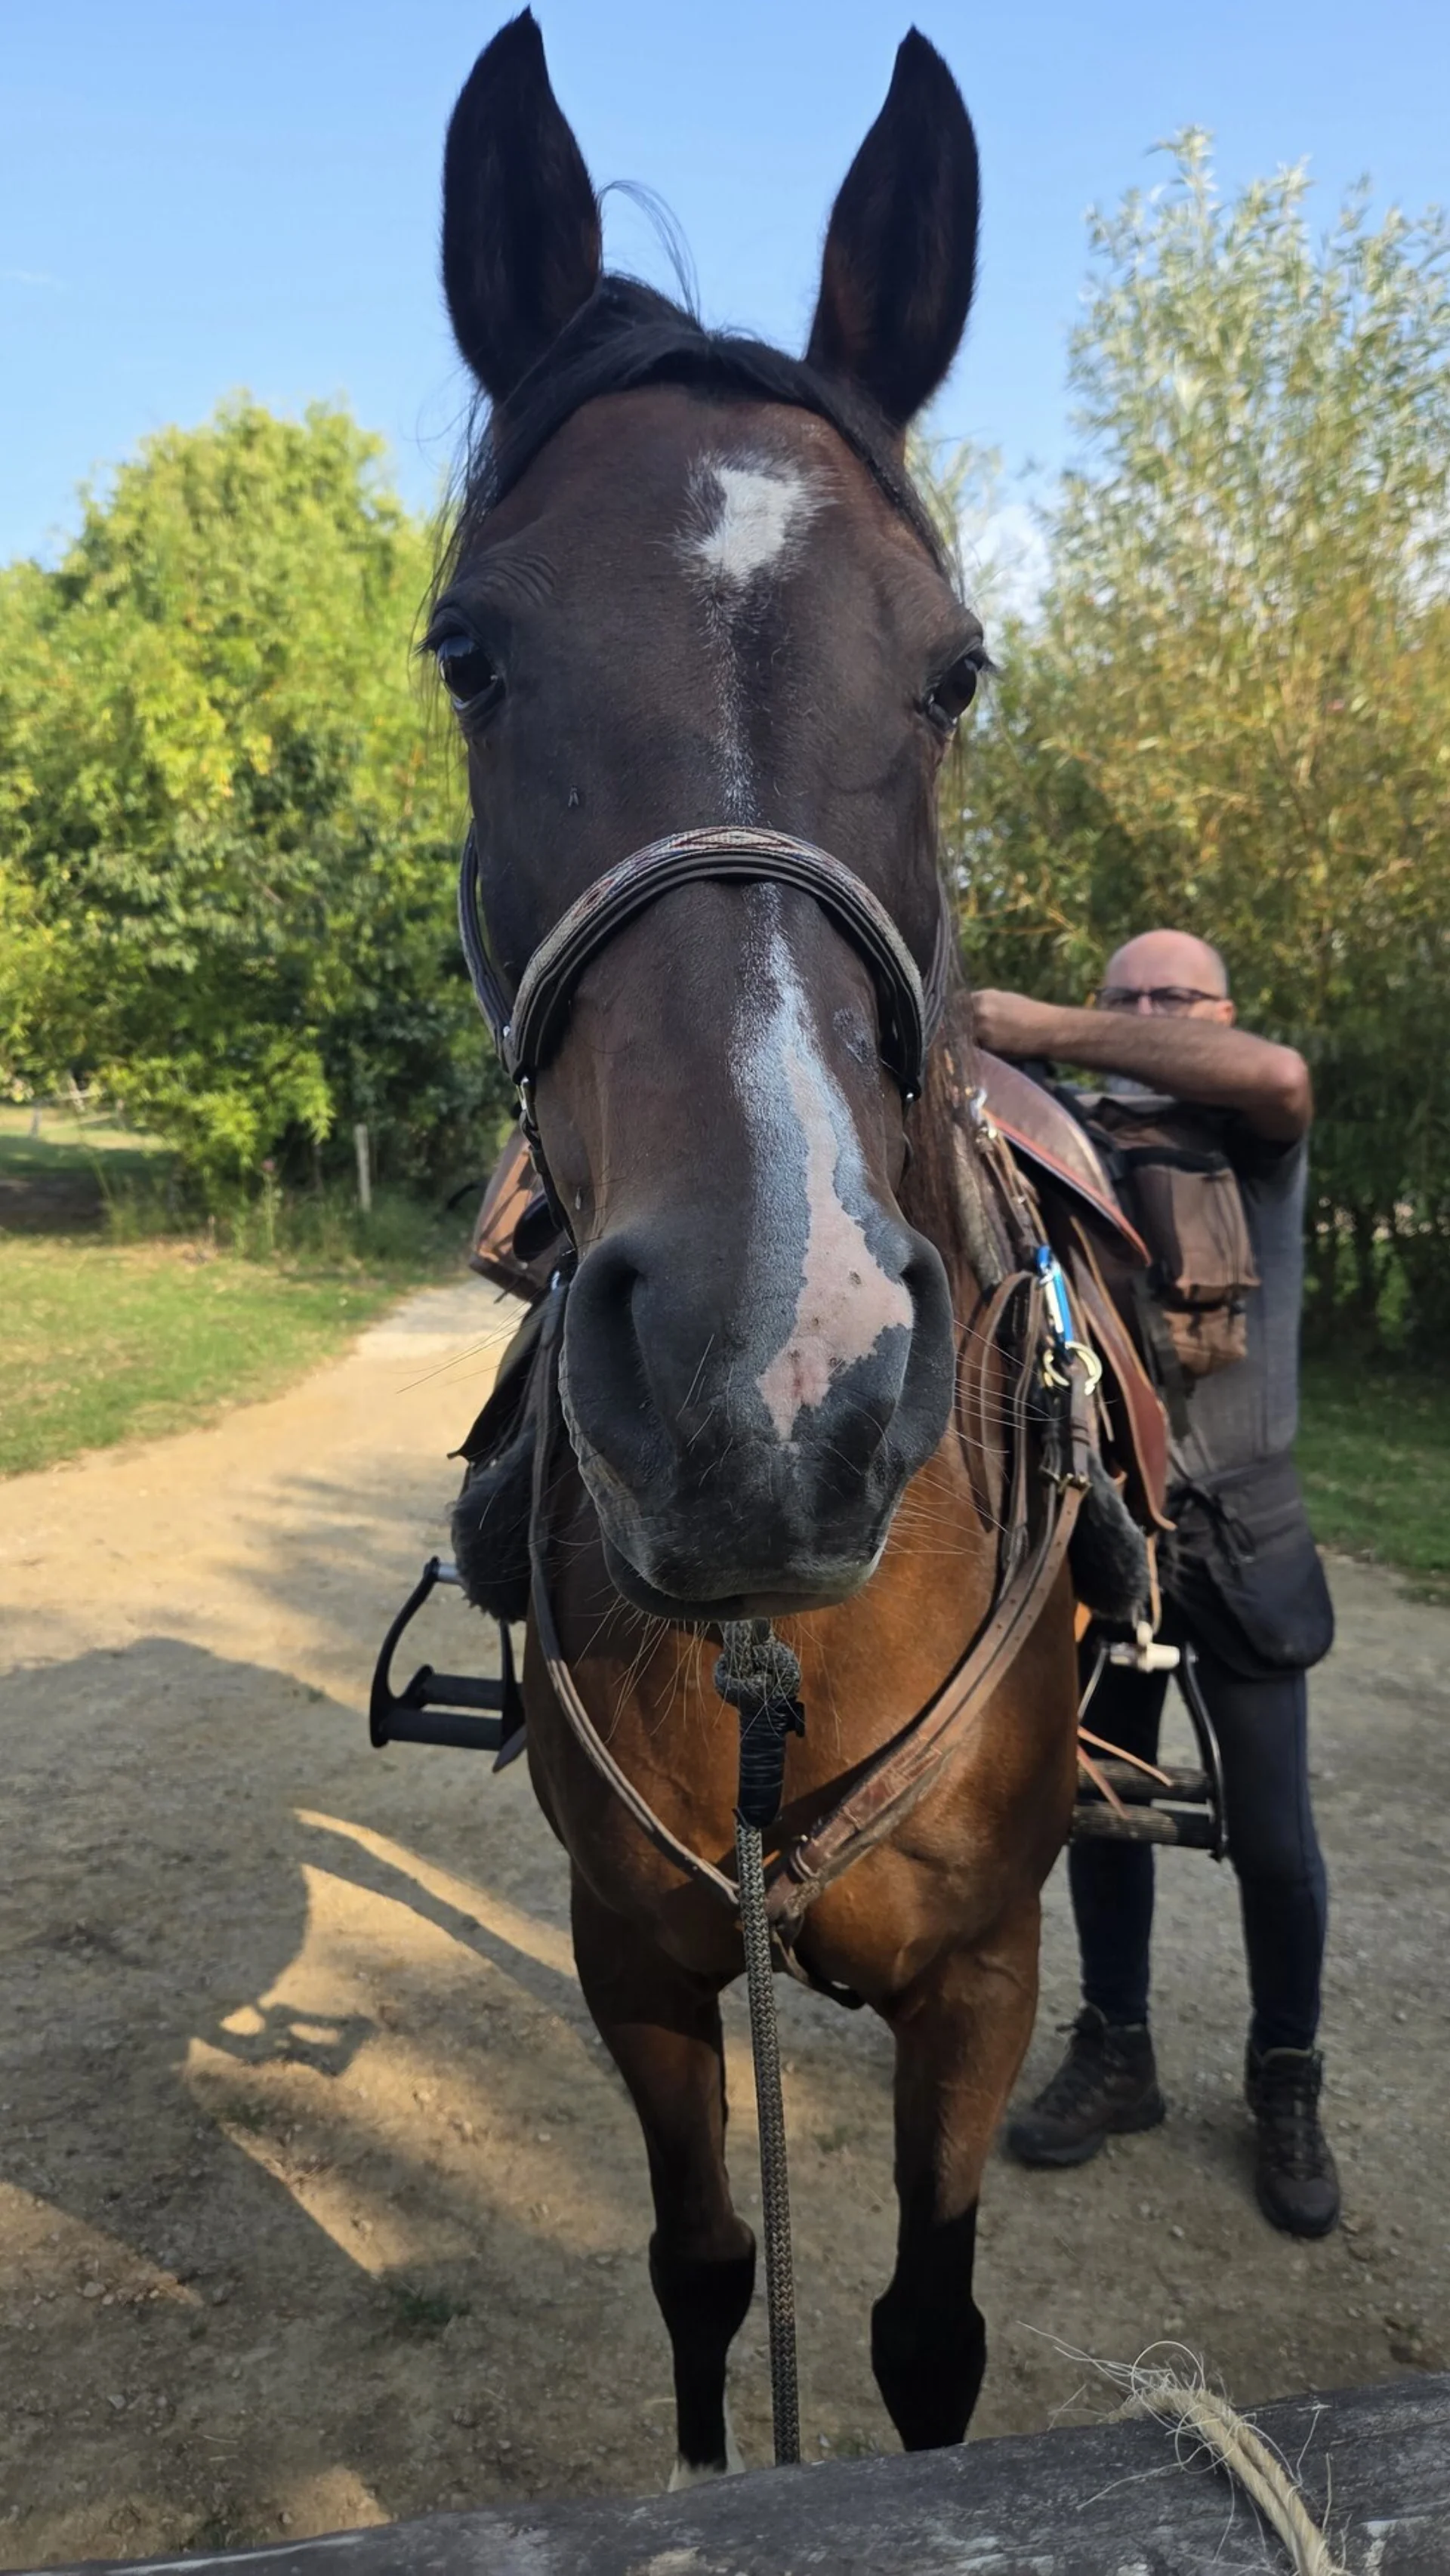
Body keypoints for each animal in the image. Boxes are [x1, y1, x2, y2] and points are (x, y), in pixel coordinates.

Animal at [428, 11, 1087, 2478]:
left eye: (958, 670)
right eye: (468, 654)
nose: (763, 1378)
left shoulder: (981, 1976)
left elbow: (923, 2334)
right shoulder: (639, 1961)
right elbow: (711, 2273)